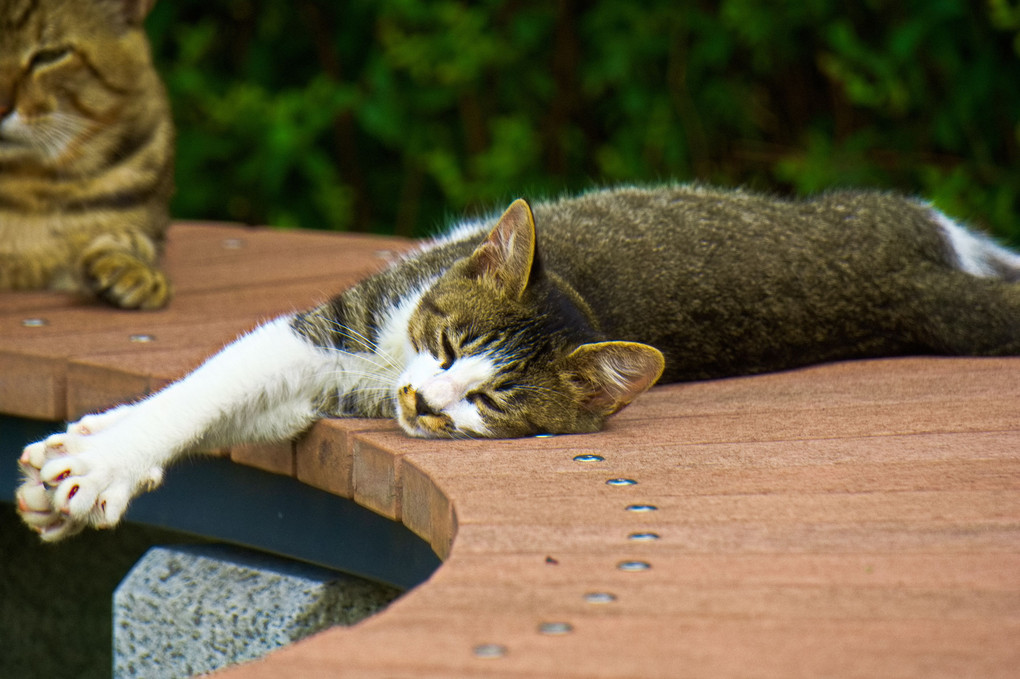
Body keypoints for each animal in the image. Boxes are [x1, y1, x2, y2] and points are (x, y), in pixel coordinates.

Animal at [13, 182, 1020, 538]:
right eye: (450, 343)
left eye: (494, 399)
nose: (426, 404)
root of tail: (911, 284)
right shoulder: (341, 327)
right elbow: (216, 387)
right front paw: (102, 449)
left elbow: (233, 394)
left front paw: (100, 459)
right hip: (896, 215)